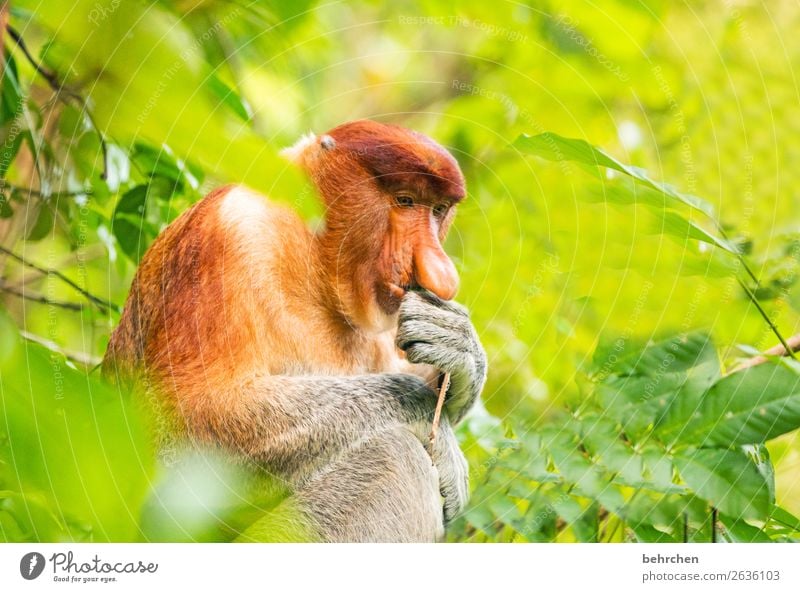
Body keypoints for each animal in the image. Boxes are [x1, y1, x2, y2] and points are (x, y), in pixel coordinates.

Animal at [103, 120, 484, 540]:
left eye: (438, 210)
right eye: (404, 201)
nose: (441, 272)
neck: (313, 256)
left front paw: (458, 346)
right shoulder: (227, 236)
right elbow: (182, 425)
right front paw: (430, 424)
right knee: (395, 457)